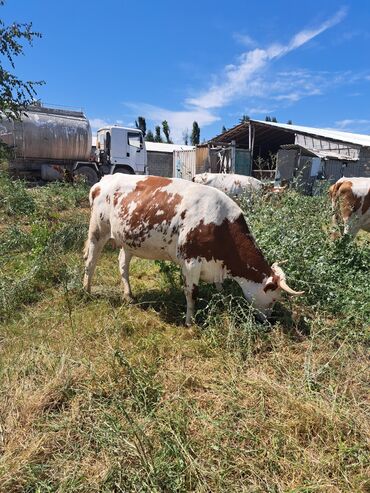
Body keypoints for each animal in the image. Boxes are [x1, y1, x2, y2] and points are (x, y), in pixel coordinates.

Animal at [84, 175, 304, 324]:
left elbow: (219, 287)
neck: (221, 223)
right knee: (90, 261)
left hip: (127, 240)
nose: (269, 321)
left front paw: (223, 300)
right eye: (273, 299)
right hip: (98, 230)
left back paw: (129, 295)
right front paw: (190, 321)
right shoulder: (190, 262)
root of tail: (103, 180)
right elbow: (191, 293)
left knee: (123, 264)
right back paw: (86, 291)